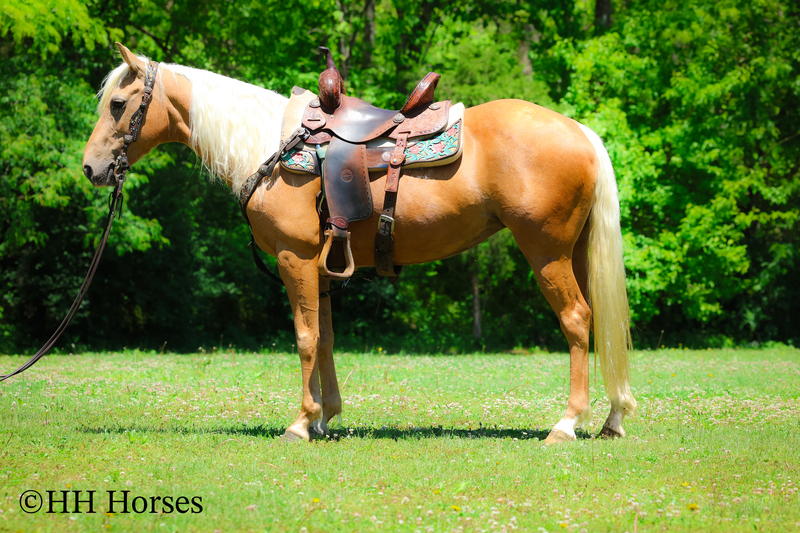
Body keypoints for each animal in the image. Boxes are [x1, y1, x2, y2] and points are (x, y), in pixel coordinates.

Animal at [82, 43, 637, 444]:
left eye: (117, 104)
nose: (91, 168)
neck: (270, 147)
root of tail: (581, 132)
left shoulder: (295, 258)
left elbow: (305, 338)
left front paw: (301, 423)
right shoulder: (322, 267)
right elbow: (325, 338)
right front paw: (326, 417)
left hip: (546, 252)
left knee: (577, 320)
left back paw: (567, 424)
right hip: (577, 253)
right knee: (600, 322)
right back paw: (612, 418)